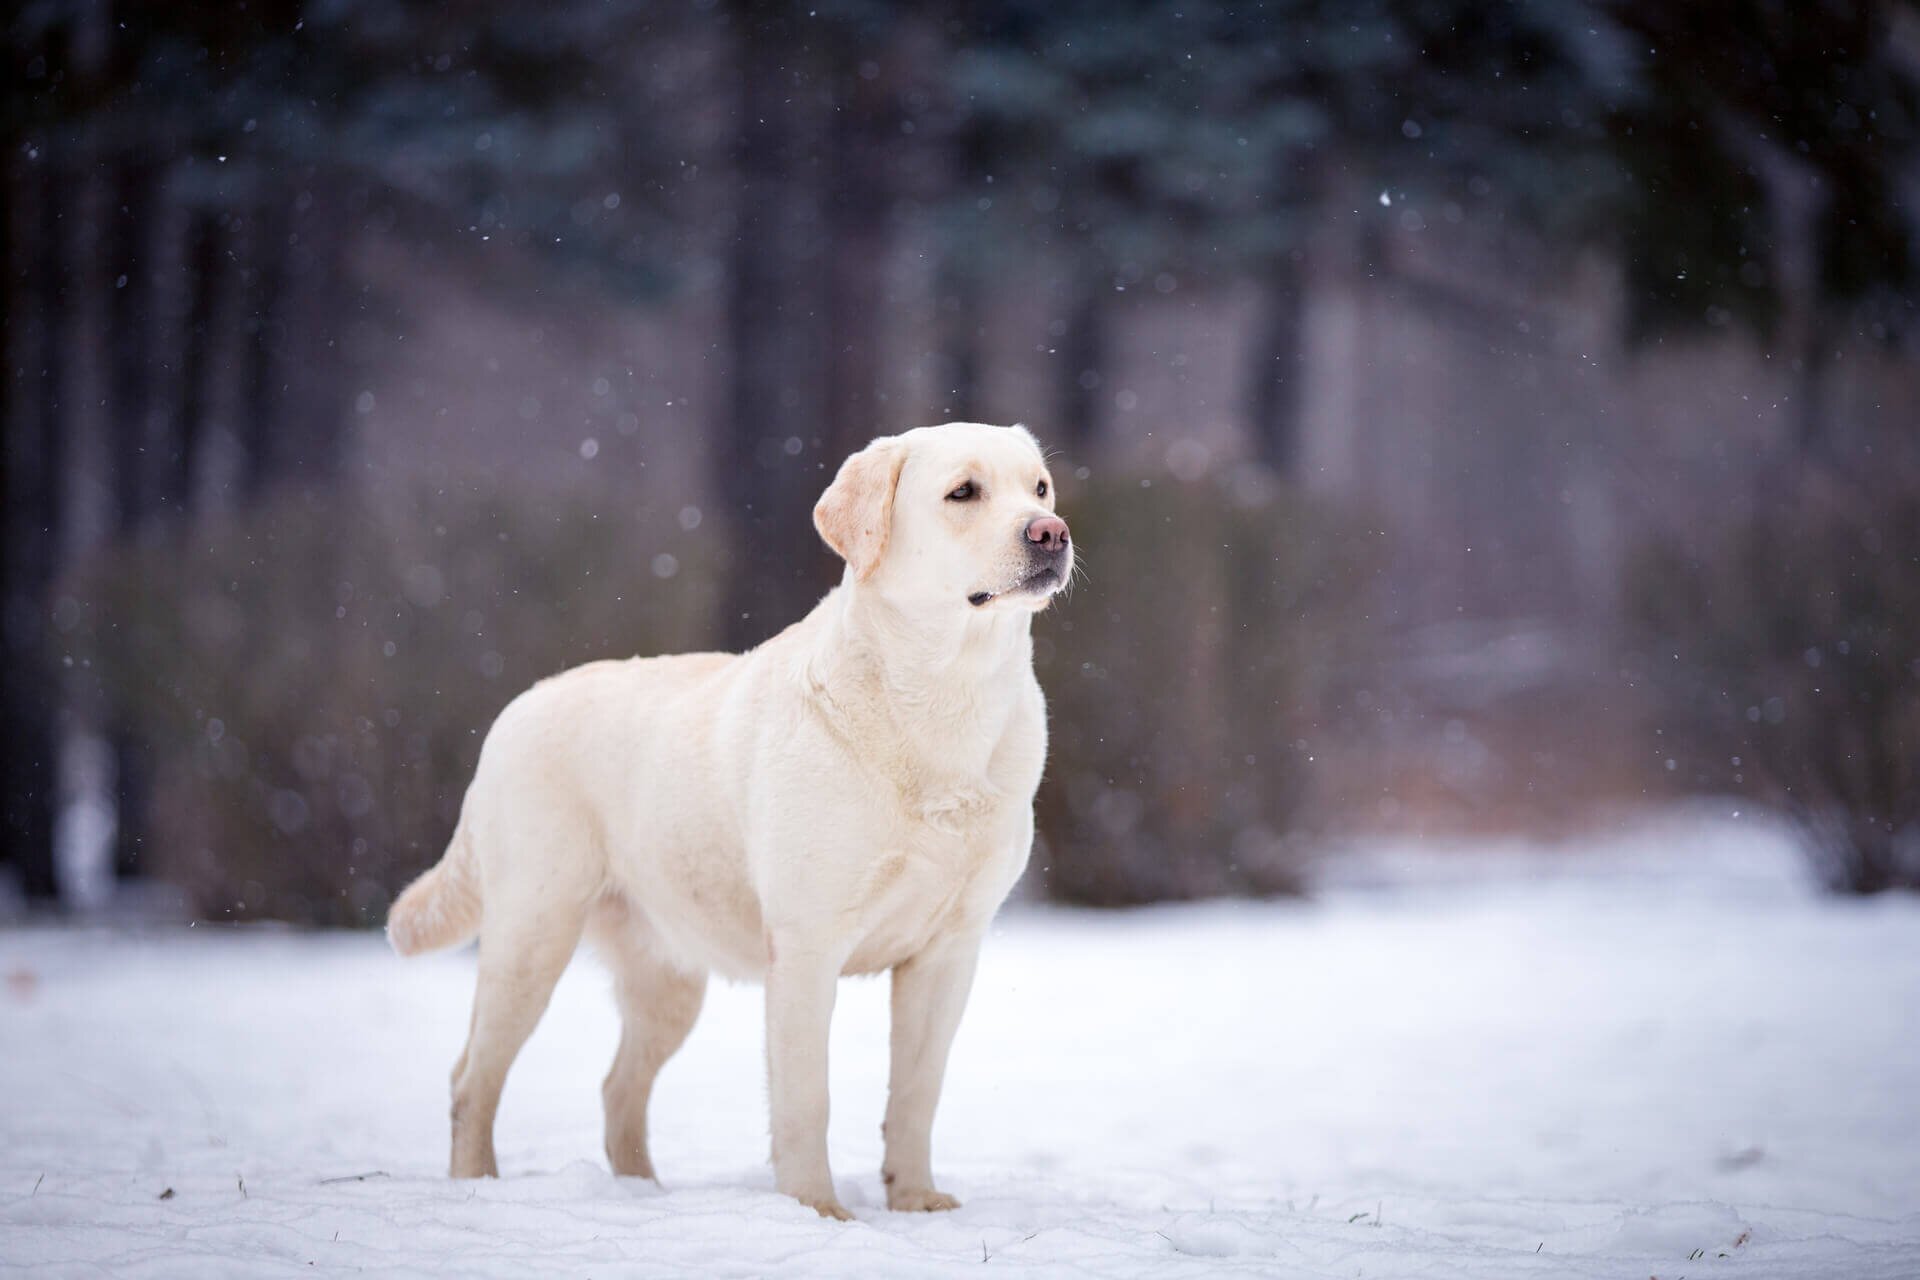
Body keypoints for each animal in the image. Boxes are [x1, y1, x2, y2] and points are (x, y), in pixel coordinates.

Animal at [385, 422, 1082, 1220]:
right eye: (963, 492)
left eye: (1039, 489)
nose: (1051, 531)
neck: (944, 699)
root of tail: (512, 711)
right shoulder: (808, 947)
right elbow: (807, 1096)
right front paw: (816, 1209)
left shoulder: (948, 952)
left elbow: (916, 1091)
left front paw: (915, 1200)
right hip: (532, 936)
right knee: (472, 1077)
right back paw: (478, 1186)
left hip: (666, 979)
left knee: (616, 1087)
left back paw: (641, 1193)